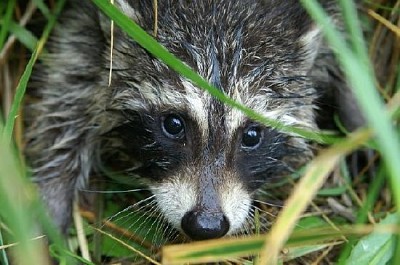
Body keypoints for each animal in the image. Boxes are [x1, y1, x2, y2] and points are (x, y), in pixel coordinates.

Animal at [24, 0, 356, 239]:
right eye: (173, 125)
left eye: (252, 136)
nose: (206, 225)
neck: (224, 8)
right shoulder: (87, 16)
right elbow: (71, 79)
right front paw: (53, 190)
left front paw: (360, 106)